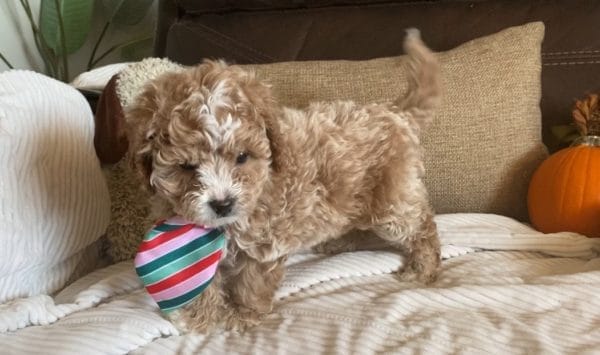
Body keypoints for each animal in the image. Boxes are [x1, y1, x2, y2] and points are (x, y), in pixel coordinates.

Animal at [125, 29, 440, 334]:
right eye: (187, 166)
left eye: (242, 157)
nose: (223, 204)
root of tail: (394, 112)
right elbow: (202, 279)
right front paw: (201, 317)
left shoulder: (265, 239)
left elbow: (251, 281)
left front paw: (243, 314)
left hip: (391, 203)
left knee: (420, 225)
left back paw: (423, 268)